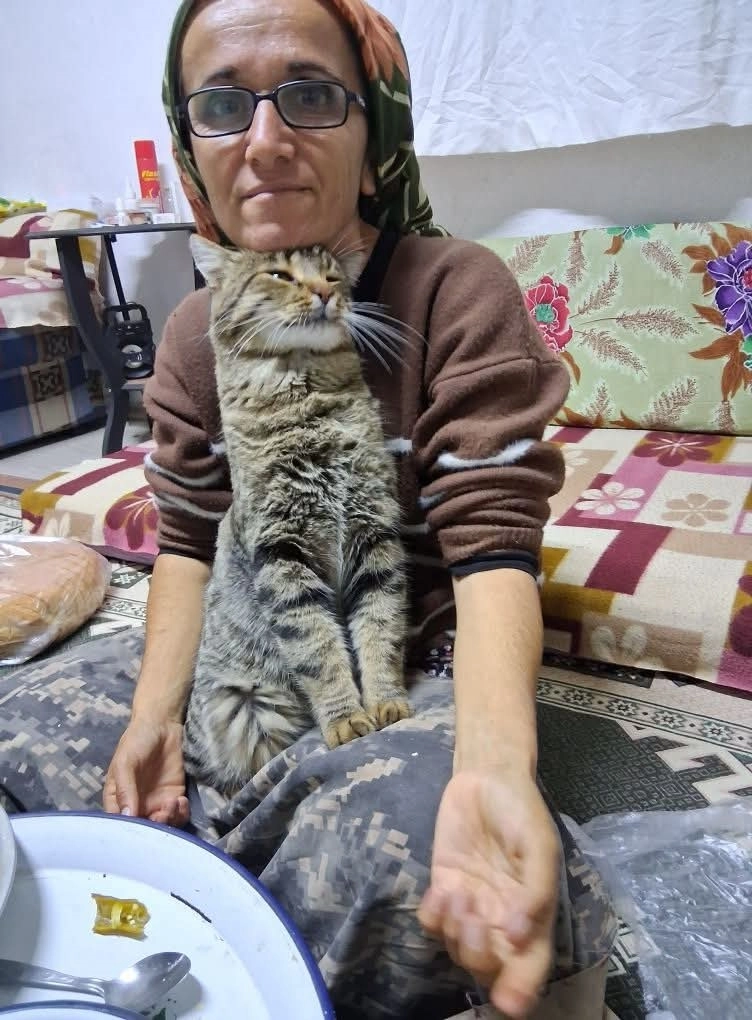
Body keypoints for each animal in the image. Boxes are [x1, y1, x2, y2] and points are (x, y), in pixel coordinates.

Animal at [183, 237, 412, 795]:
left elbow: (381, 628)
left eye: (333, 277)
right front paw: (346, 718)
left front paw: (386, 700)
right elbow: (318, 646)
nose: (326, 293)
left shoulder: (376, 536)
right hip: (246, 711)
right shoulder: (282, 555)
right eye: (279, 275)